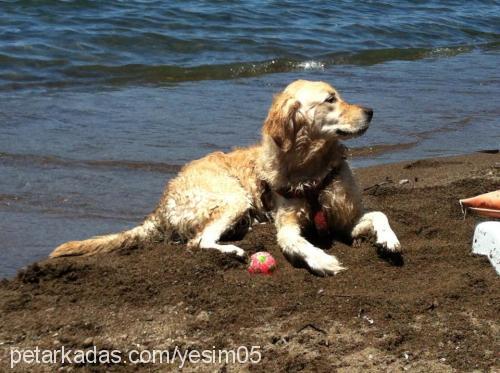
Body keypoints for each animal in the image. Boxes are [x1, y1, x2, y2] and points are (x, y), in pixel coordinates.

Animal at [50, 80, 400, 274]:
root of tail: (160, 206)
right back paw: (232, 250)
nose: (371, 111)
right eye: (330, 99)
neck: (311, 167)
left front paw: (389, 239)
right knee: (197, 241)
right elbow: (297, 243)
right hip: (233, 198)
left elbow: (379, 214)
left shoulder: (345, 219)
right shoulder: (287, 225)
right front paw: (323, 260)